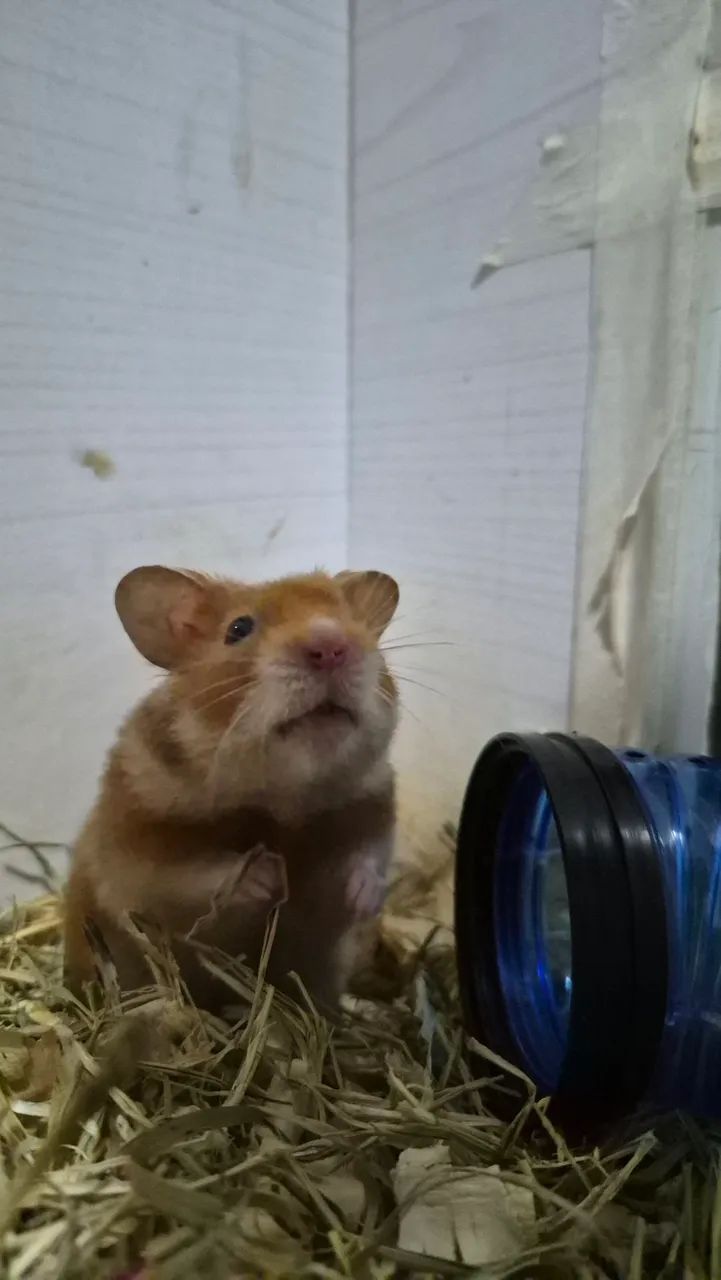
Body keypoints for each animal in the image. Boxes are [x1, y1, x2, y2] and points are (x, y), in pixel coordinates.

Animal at [63, 566, 400, 1013]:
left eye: (354, 622)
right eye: (238, 629)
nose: (331, 647)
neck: (283, 796)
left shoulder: (372, 805)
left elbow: (367, 858)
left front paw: (362, 893)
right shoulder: (141, 849)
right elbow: (193, 876)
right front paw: (269, 875)